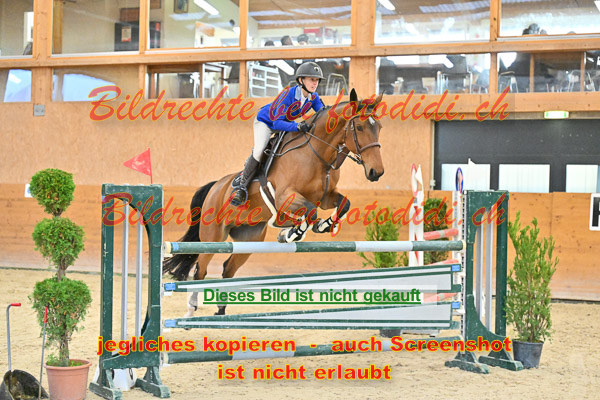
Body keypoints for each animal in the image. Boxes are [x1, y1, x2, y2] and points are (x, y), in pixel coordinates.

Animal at [163, 89, 385, 316]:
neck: (316, 154)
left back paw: (221, 311)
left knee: (227, 268)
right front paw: (291, 232)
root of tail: (216, 186)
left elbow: (342, 204)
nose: (376, 172)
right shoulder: (285, 196)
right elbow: (310, 212)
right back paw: (191, 310)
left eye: (379, 127)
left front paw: (321, 226)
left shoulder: (325, 197)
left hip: (249, 239)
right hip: (213, 237)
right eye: (359, 127)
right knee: (201, 269)